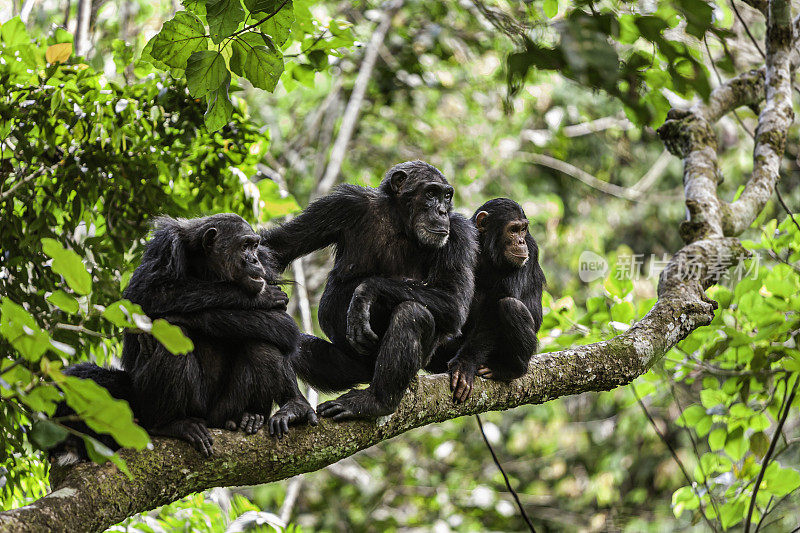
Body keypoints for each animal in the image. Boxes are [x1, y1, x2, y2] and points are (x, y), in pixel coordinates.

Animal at [122, 214, 316, 456]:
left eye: (254, 246)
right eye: (244, 246)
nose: (254, 260)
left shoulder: (266, 263)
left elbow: (283, 325)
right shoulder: (165, 247)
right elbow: (146, 295)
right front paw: (261, 297)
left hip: (223, 411)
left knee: (263, 342)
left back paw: (259, 414)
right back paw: (170, 424)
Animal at [260, 159, 476, 420]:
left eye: (446, 196)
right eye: (431, 193)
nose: (442, 211)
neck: (400, 222)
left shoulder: (459, 234)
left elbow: (453, 301)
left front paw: (365, 293)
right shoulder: (342, 204)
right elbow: (278, 247)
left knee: (413, 314)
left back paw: (375, 402)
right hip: (349, 368)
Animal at [428, 197, 548, 402]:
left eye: (523, 229)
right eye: (513, 229)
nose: (521, 241)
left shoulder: (531, 247)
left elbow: (495, 306)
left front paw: (465, 364)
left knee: (510, 306)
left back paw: (510, 369)